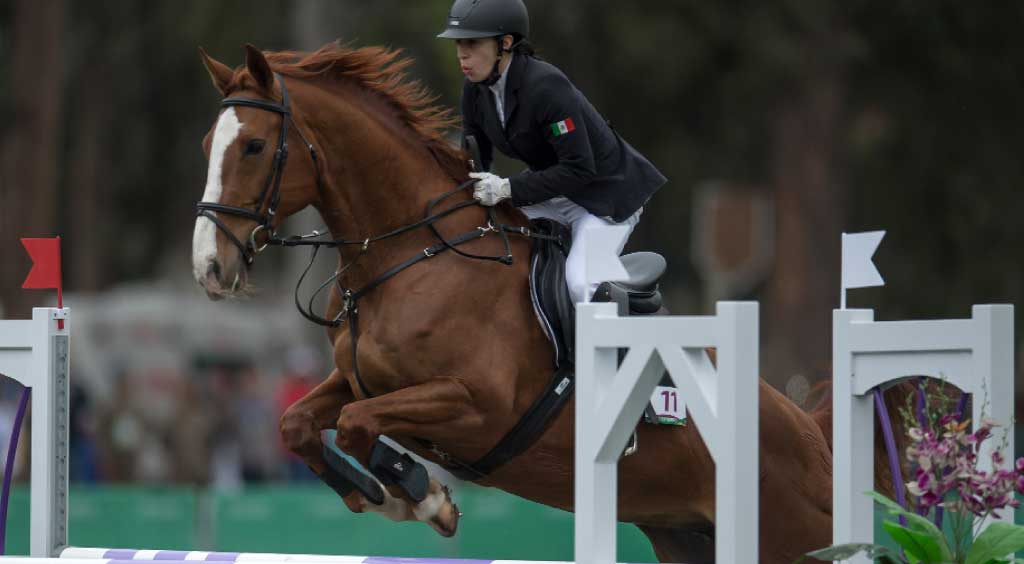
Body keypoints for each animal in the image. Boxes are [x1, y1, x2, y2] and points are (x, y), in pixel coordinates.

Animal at [190, 41, 913, 560]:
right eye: (207, 146)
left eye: (254, 145)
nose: (209, 269)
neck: (413, 256)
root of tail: (814, 436)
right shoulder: (358, 378)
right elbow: (301, 424)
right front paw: (390, 495)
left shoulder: (477, 406)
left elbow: (360, 424)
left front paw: (421, 498)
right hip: (688, 537)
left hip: (790, 539)